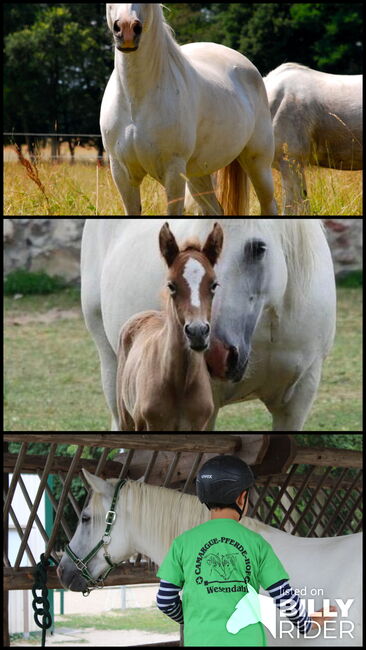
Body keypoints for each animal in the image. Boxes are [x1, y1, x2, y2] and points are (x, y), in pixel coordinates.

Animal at [98, 3, 276, 215]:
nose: (126, 29)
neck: (135, 103)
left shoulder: (174, 172)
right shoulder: (121, 173)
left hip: (258, 164)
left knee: (269, 205)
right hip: (198, 174)